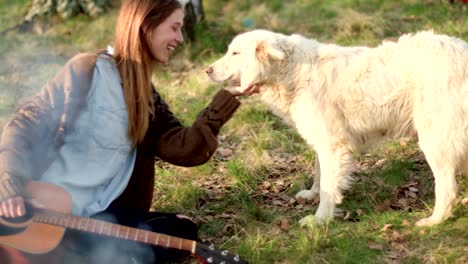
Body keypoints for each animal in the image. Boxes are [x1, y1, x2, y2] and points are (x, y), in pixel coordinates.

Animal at [207, 29, 468, 227]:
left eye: (235, 53)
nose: (207, 70)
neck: (292, 71)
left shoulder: (333, 144)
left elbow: (328, 186)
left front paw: (319, 220)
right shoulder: (323, 141)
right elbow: (319, 173)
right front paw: (311, 195)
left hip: (434, 140)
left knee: (447, 186)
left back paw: (434, 221)